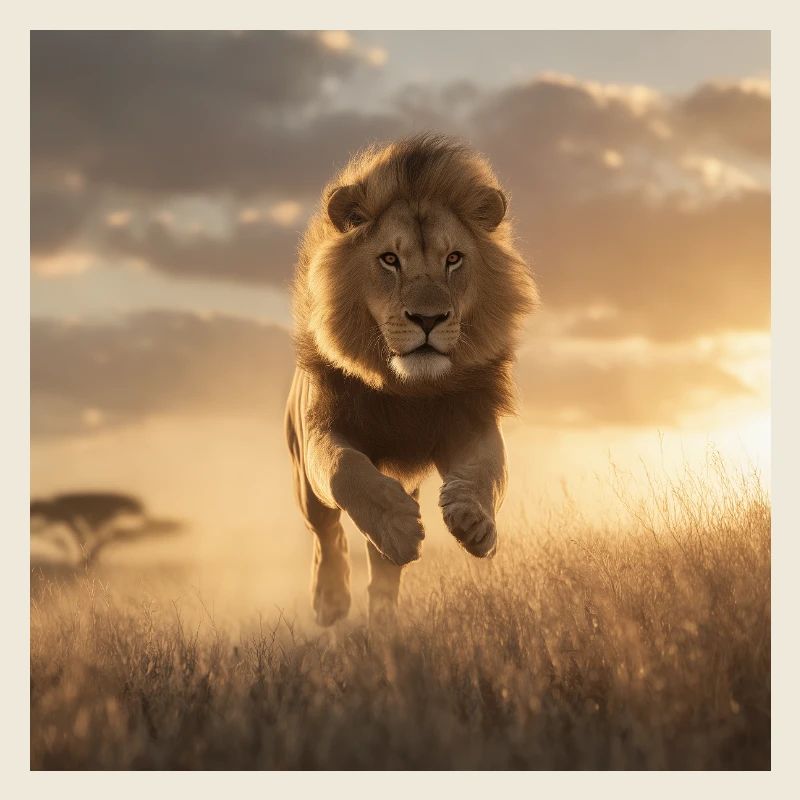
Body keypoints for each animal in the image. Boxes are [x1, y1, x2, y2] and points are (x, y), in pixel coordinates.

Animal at [285, 134, 538, 626]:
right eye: (389, 259)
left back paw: (384, 614)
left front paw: (474, 522)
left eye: (454, 259)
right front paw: (399, 528)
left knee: (381, 566)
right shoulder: (322, 429)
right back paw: (332, 598)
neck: (408, 389)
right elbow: (345, 470)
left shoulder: (471, 421)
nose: (428, 318)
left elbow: (488, 470)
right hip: (301, 473)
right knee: (326, 530)